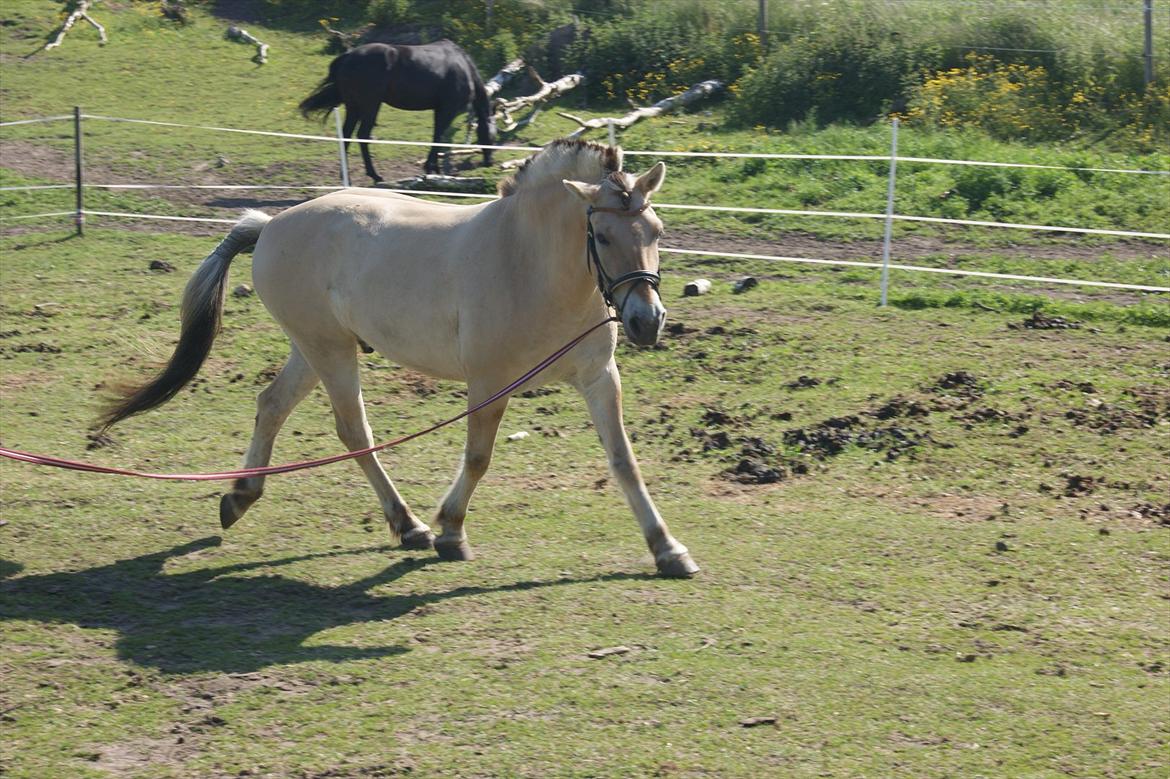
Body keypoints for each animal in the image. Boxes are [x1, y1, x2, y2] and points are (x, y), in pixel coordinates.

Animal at [100, 139, 692, 575]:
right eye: (601, 234)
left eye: (657, 231)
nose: (647, 321)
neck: (528, 263)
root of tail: (270, 226)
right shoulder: (489, 381)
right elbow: (478, 458)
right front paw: (451, 532)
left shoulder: (598, 377)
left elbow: (623, 461)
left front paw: (668, 550)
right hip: (330, 352)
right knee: (353, 431)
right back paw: (409, 526)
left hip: (312, 349)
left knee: (271, 405)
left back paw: (240, 497)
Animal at [299, 40, 496, 178]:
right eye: (493, 137)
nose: (490, 162)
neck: (463, 66)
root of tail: (347, 56)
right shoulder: (449, 109)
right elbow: (439, 136)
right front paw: (431, 168)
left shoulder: (439, 110)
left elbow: (437, 136)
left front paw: (434, 168)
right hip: (370, 105)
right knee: (362, 136)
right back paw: (375, 175)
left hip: (353, 106)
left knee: (346, 135)